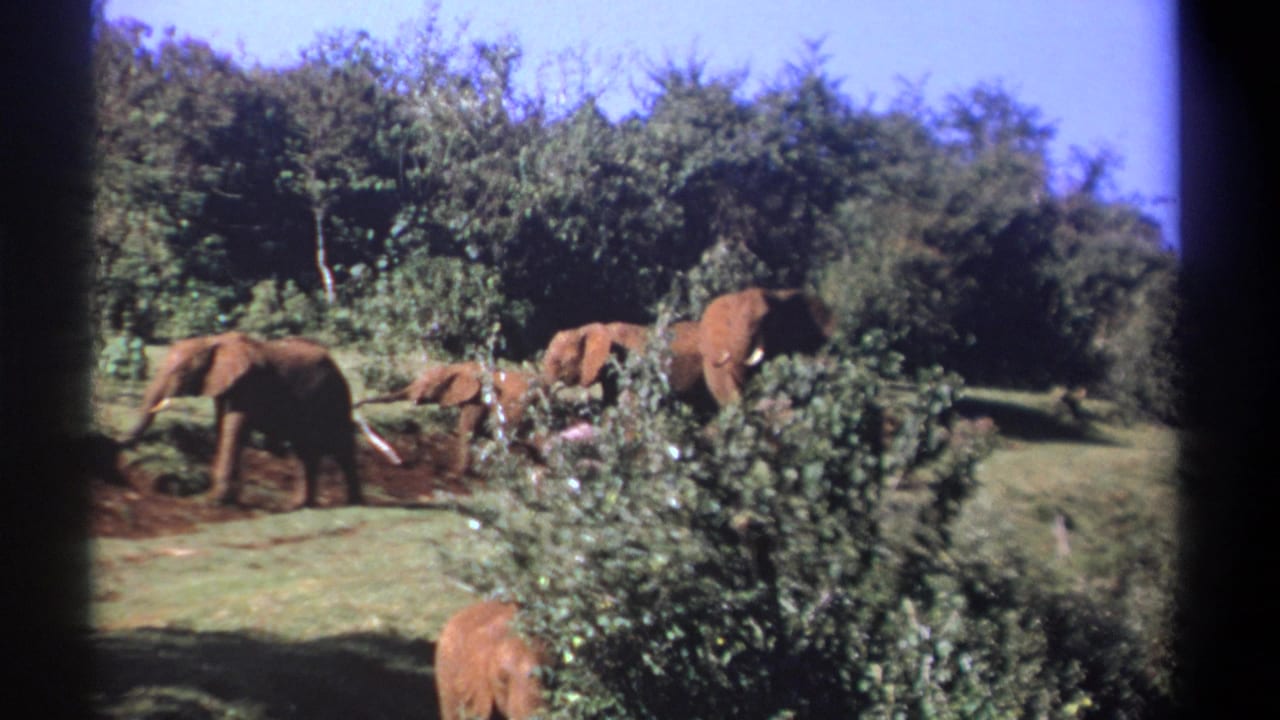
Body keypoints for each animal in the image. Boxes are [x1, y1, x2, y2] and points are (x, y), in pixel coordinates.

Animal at [120, 332, 363, 508]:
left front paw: (213, 502)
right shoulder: (224, 385)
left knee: (339, 445)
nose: (122, 444)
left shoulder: (249, 384)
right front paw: (226, 498)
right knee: (304, 450)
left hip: (334, 395)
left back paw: (354, 503)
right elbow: (223, 427)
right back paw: (300, 505)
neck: (212, 341)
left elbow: (234, 427)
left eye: (181, 373)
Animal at [355, 362, 538, 476]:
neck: (459, 366)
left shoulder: (478, 398)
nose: (356, 405)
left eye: (429, 384)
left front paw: (453, 474)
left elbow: (466, 427)